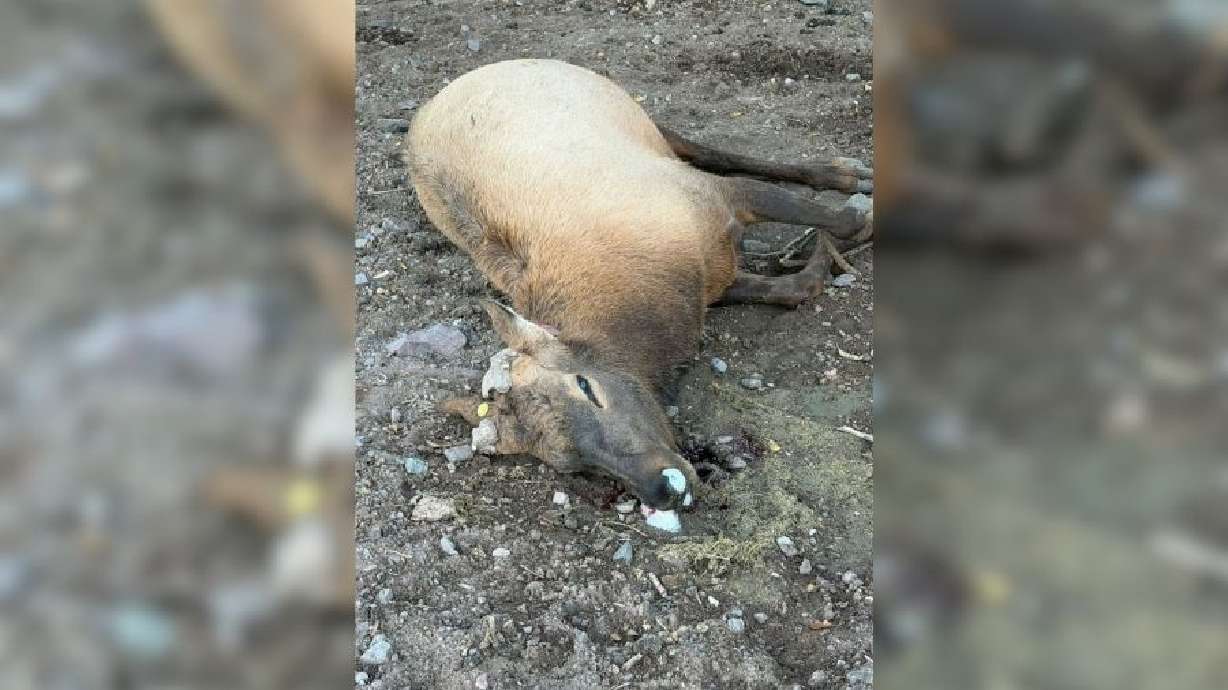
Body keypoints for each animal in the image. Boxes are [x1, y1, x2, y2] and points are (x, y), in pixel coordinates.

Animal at [408, 59, 873, 527]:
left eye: (586, 385)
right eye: (572, 463)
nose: (664, 487)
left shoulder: (714, 194)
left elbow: (845, 220)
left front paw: (845, 225)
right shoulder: (714, 283)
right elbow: (797, 286)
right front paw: (822, 254)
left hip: (641, 121)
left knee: (714, 152)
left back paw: (850, 173)